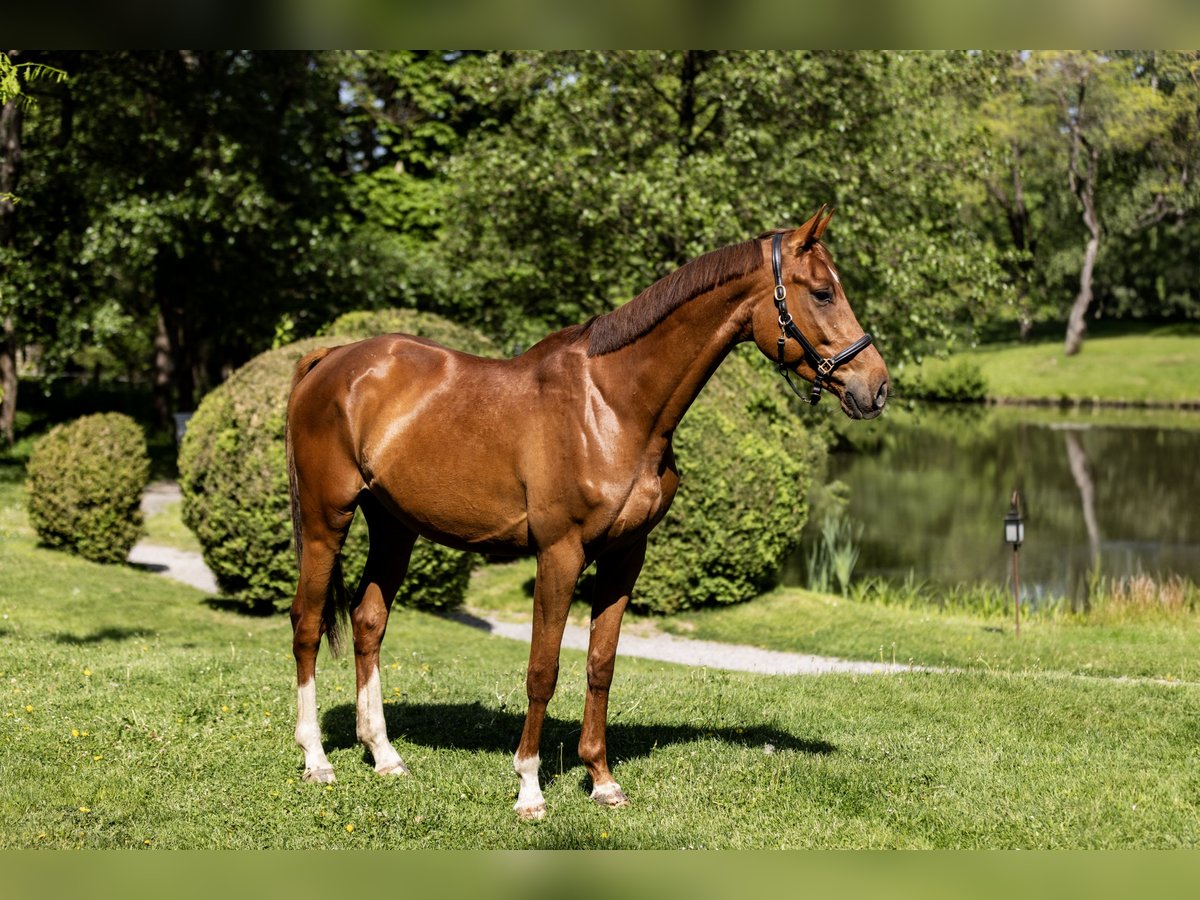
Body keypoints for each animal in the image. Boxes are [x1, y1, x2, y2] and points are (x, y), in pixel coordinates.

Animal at [285, 207, 888, 820]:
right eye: (823, 292)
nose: (876, 387)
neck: (613, 406)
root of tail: (330, 360)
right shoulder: (560, 553)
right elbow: (543, 669)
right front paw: (529, 787)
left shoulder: (624, 556)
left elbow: (601, 664)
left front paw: (601, 780)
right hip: (326, 522)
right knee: (306, 623)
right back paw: (316, 759)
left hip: (393, 527)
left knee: (369, 622)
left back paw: (384, 755)